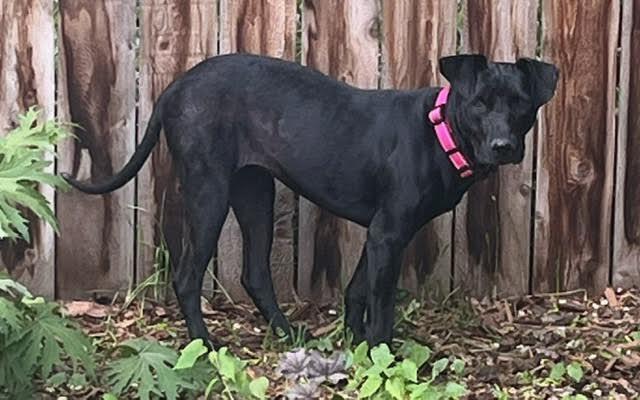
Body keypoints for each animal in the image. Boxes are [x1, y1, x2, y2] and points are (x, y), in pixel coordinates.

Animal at [62, 53, 556, 346]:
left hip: (254, 193)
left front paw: (356, 346)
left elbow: (357, 290)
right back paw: (207, 344)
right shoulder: (389, 234)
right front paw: (383, 355)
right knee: (187, 276)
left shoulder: (380, 235)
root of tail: (175, 87)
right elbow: (382, 306)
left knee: (255, 273)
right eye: (480, 103)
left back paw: (287, 333)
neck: (439, 132)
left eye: (521, 104)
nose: (504, 146)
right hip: (209, 192)